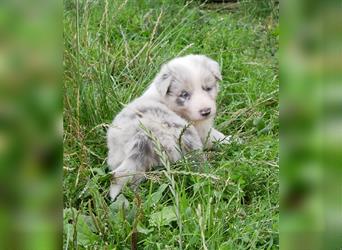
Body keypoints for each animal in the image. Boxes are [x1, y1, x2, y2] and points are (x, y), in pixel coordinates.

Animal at [107, 54, 230, 199]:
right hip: (186, 136)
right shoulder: (202, 131)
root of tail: (141, 137)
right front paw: (234, 141)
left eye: (207, 88)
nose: (206, 111)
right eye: (184, 94)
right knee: (197, 162)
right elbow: (216, 137)